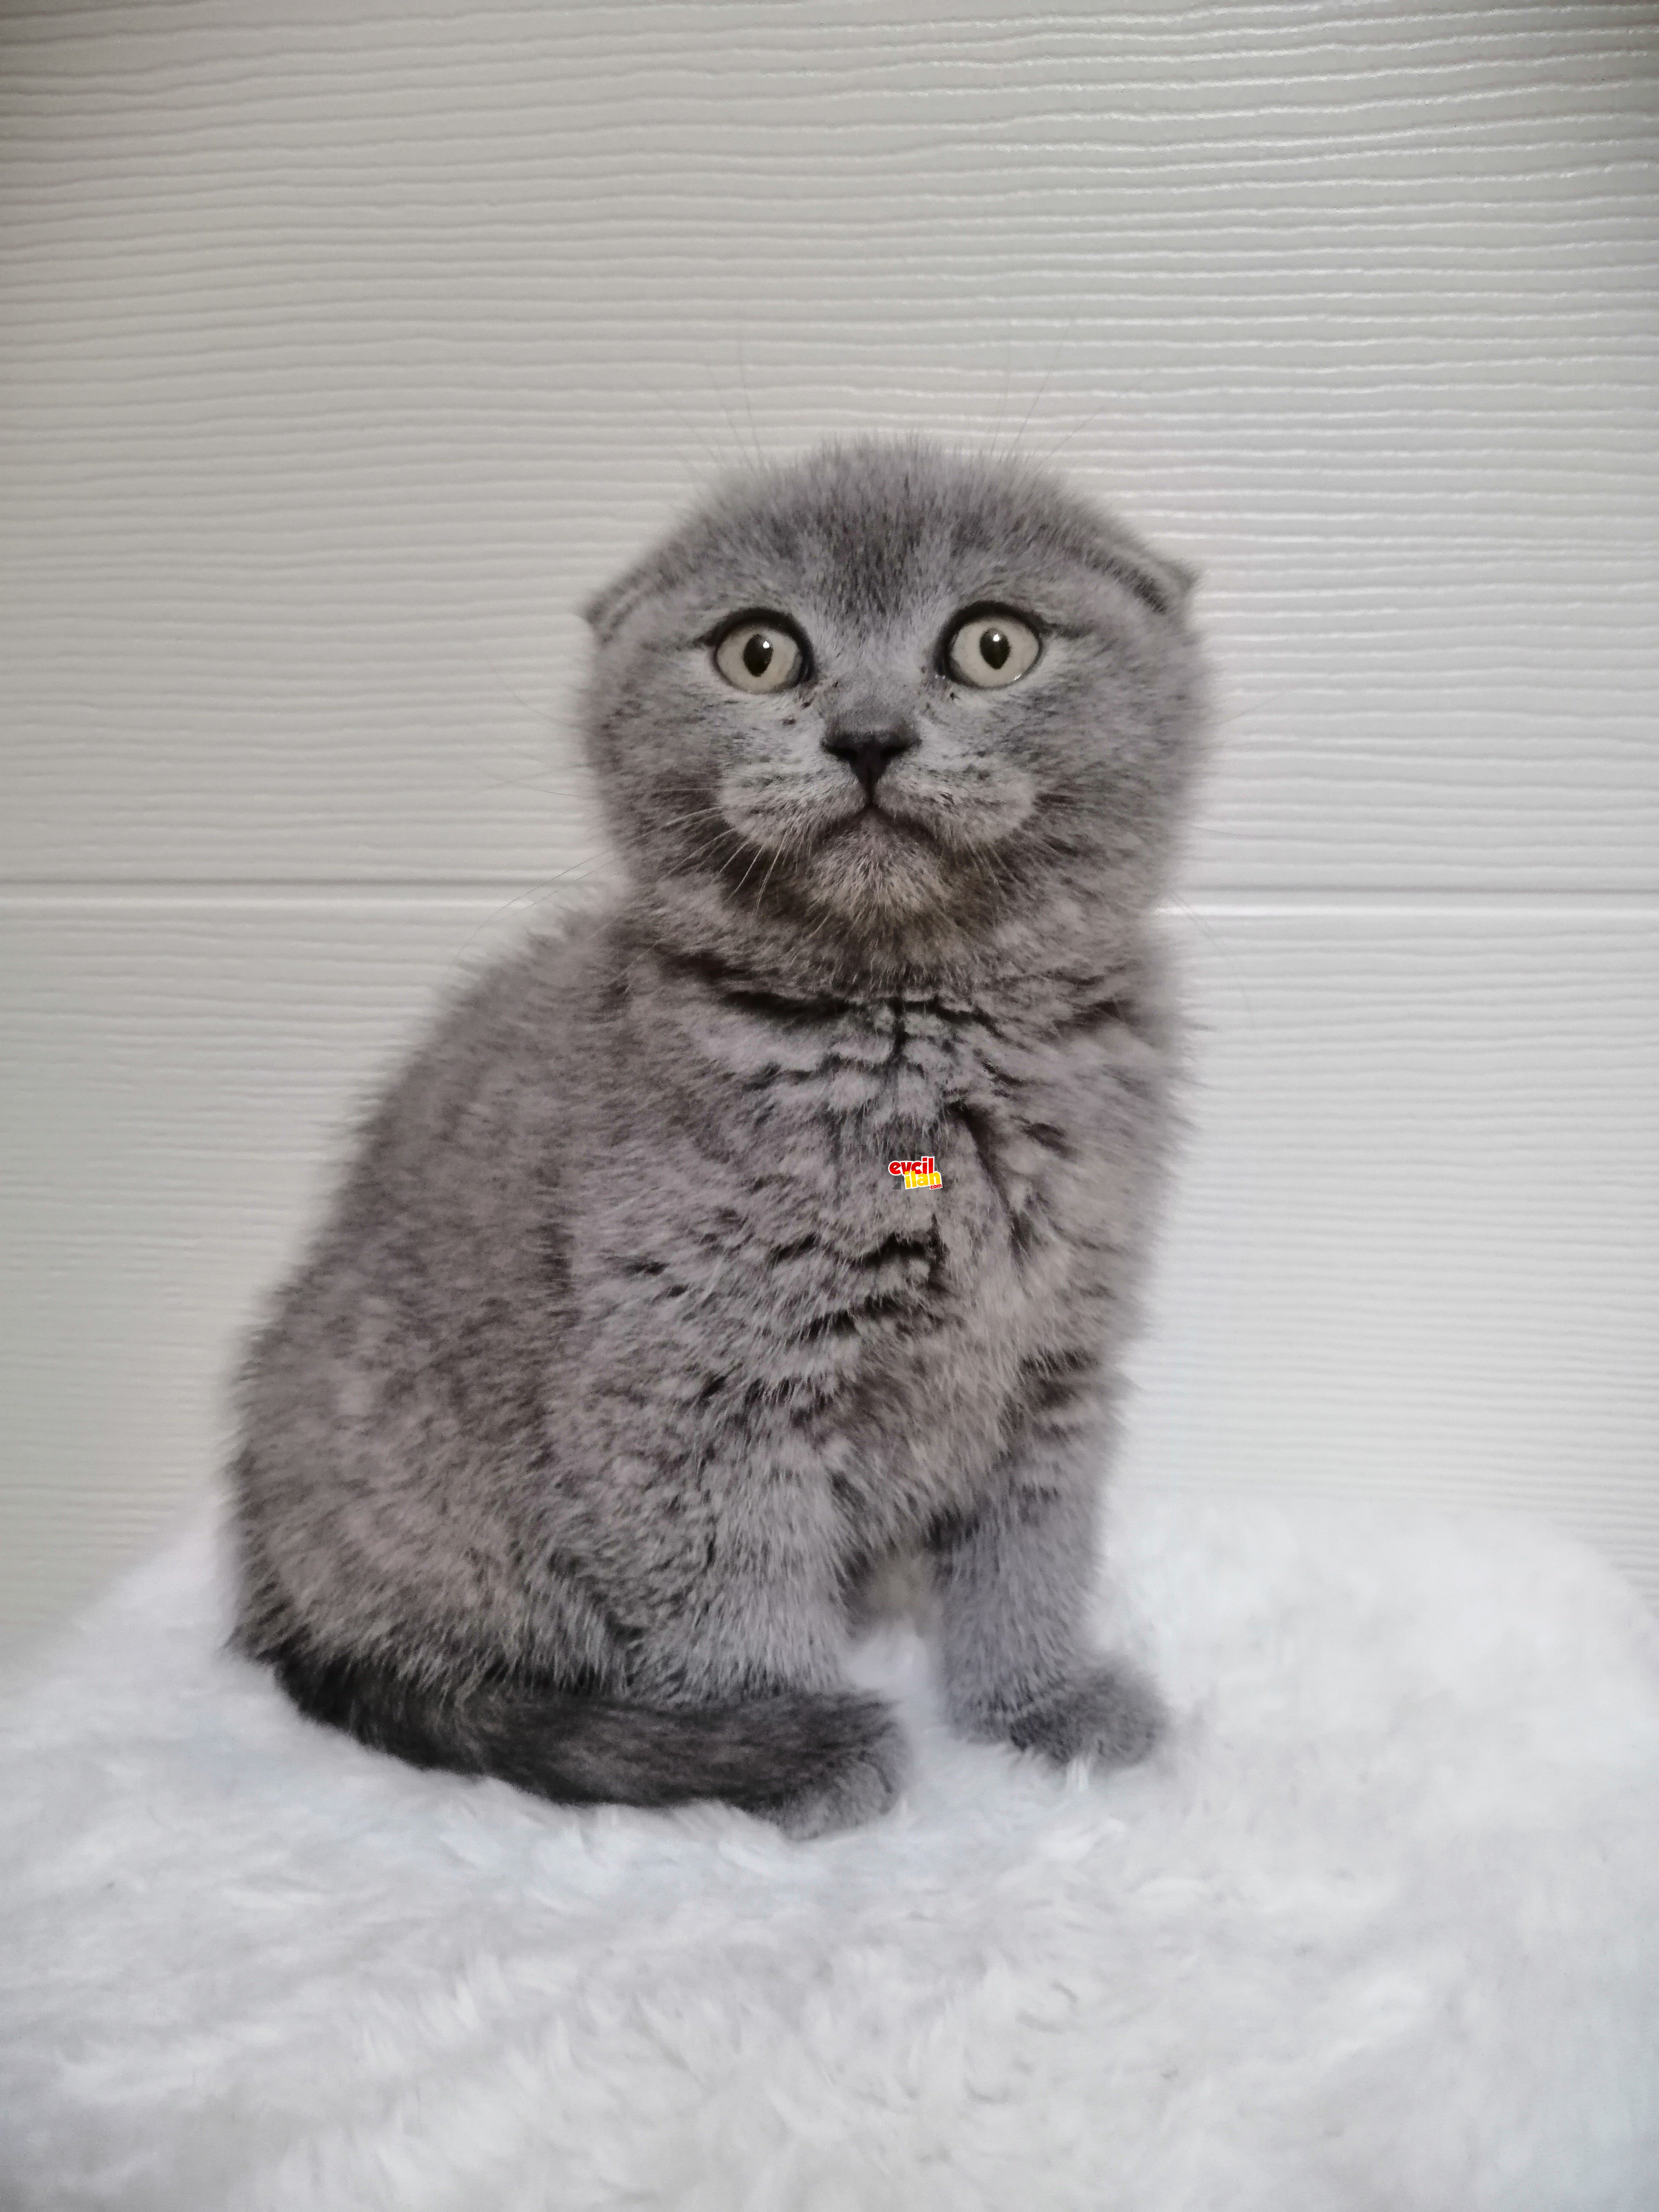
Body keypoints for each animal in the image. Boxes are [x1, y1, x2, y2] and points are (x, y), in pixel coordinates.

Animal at [228, 440, 1212, 1840]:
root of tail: (264, 1574)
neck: (915, 1040)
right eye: (759, 652)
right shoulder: (693, 1381)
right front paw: (781, 1745)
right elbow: (730, 1579)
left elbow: (1030, 1547)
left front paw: (1038, 1706)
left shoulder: (1053, 1355)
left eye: (991, 645)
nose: (867, 735)